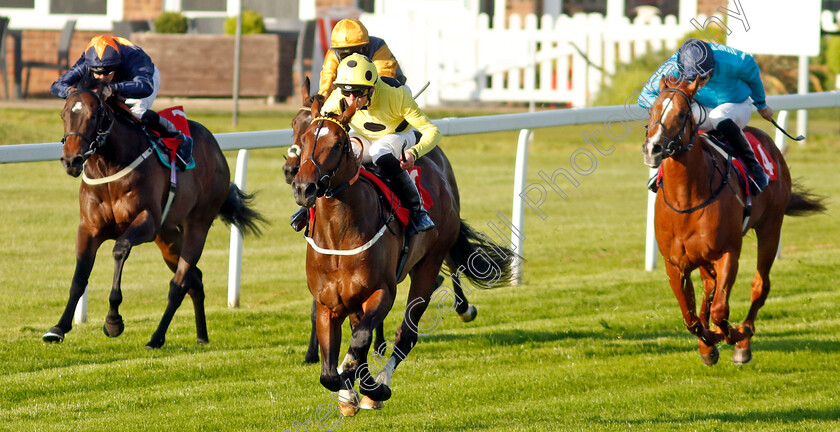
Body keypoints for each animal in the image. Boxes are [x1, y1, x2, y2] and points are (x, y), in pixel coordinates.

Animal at [42, 79, 264, 350]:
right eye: (64, 114)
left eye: (93, 115)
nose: (71, 160)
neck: (110, 164)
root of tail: (216, 150)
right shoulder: (89, 228)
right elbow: (79, 277)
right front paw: (59, 327)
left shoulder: (146, 221)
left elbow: (119, 250)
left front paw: (113, 321)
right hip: (168, 238)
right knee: (195, 280)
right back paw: (201, 336)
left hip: (197, 225)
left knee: (179, 284)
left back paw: (156, 338)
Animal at [294, 98, 512, 416]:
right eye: (304, 139)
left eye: (337, 144)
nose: (303, 187)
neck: (339, 236)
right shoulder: (329, 303)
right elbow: (331, 372)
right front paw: (350, 392)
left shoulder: (382, 291)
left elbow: (360, 342)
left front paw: (372, 389)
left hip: (428, 263)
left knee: (408, 332)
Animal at [648, 77, 824, 364]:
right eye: (652, 110)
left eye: (683, 114)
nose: (652, 148)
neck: (686, 200)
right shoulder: (674, 264)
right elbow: (691, 317)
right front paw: (708, 344)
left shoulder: (728, 252)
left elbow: (720, 309)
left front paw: (735, 335)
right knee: (709, 287)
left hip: (771, 227)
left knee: (760, 285)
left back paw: (744, 341)